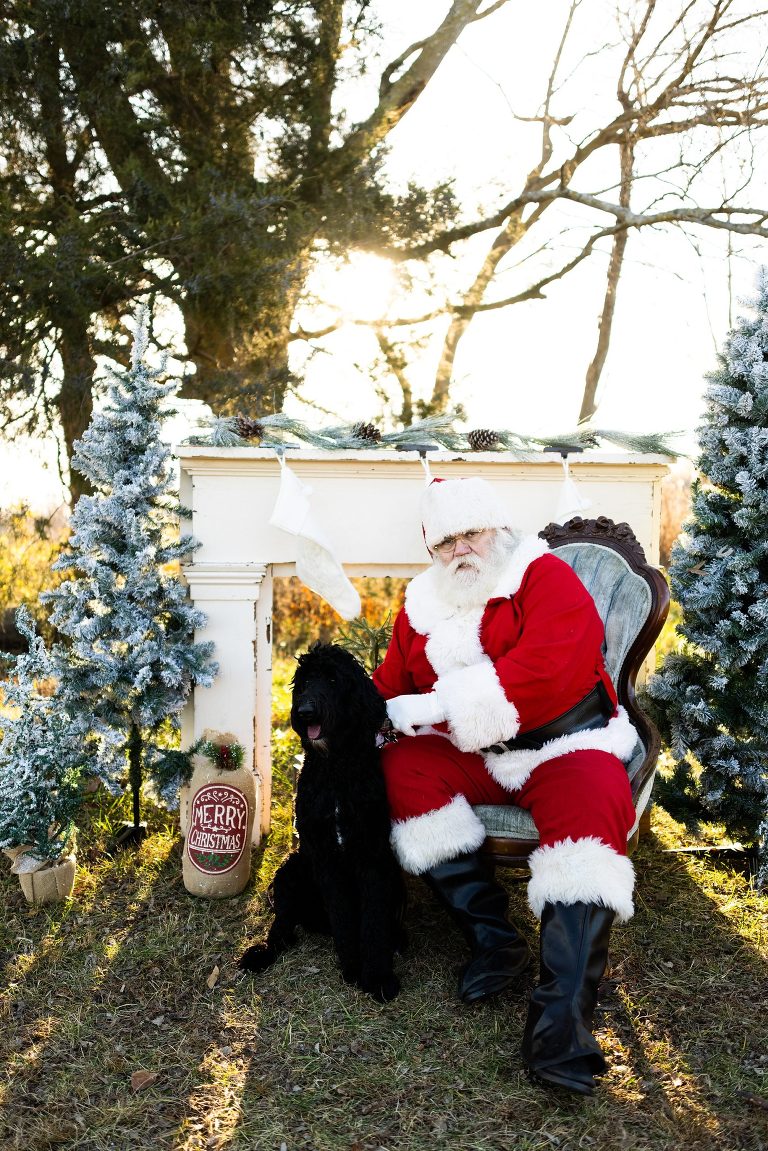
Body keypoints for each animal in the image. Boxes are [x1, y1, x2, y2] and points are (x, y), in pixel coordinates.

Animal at [238, 644, 407, 1003]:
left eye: (332, 679)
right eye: (303, 683)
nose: (304, 712)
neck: (336, 771)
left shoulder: (374, 858)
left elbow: (374, 922)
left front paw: (378, 976)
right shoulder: (325, 858)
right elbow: (344, 917)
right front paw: (353, 967)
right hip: (291, 872)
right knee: (283, 928)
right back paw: (262, 953)